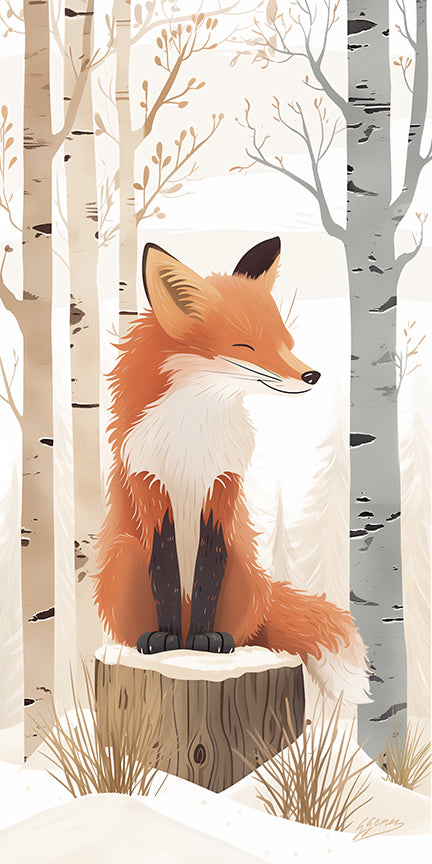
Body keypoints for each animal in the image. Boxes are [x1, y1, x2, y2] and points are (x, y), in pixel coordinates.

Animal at [93, 236, 371, 705]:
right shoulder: (149, 482)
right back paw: (163, 638)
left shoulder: (222, 482)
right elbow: (165, 570)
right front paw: (167, 639)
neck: (192, 433)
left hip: (246, 567)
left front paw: (206, 641)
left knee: (244, 630)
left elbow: (209, 569)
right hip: (124, 554)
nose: (312, 375)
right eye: (247, 347)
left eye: (285, 340)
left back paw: (214, 638)